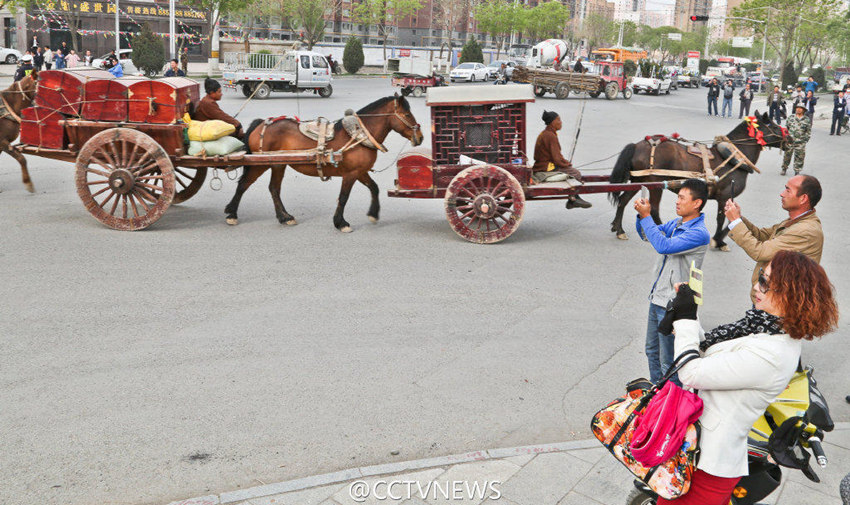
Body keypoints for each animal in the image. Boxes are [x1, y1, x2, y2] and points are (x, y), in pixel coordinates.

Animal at [224, 93, 422, 231]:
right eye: (406, 114)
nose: (420, 137)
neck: (358, 135)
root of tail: (261, 123)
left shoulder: (360, 171)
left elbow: (374, 188)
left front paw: (373, 214)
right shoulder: (350, 174)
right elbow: (343, 197)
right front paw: (340, 223)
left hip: (278, 164)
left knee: (274, 189)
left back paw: (285, 217)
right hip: (261, 163)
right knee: (244, 184)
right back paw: (231, 213)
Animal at [608, 111, 780, 251]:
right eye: (772, 125)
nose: (786, 136)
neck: (734, 157)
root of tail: (637, 145)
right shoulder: (724, 196)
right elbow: (721, 219)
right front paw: (719, 241)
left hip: (639, 181)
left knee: (623, 201)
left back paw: (619, 229)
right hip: (655, 184)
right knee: (653, 210)